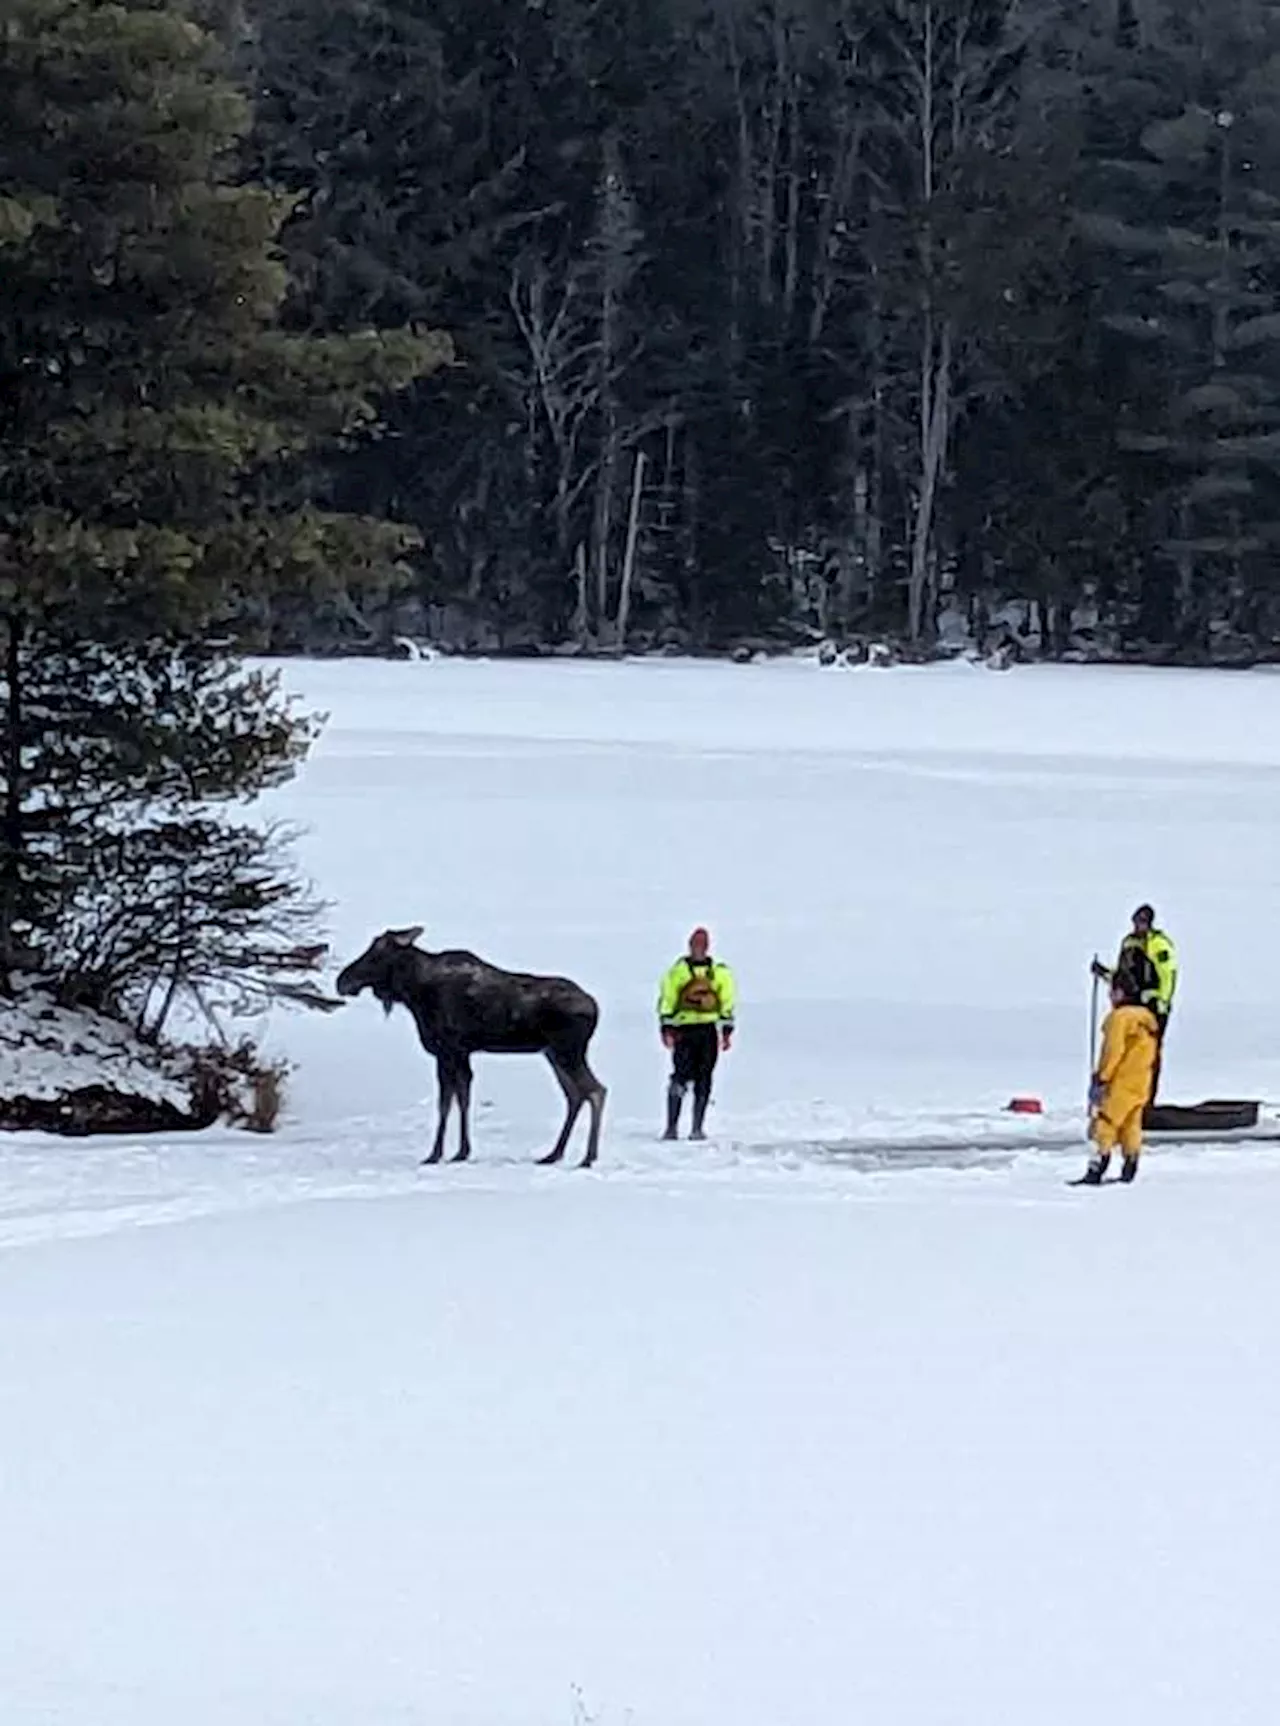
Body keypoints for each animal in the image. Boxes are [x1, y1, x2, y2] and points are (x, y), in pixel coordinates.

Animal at [332, 932, 610, 1173]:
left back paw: (587, 1157)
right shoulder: (460, 1053)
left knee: (596, 1090)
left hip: (568, 1052)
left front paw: (437, 1154)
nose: (342, 981)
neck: (415, 992)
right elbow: (462, 1097)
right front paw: (461, 1151)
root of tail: (595, 1008)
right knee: (575, 1095)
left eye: (376, 954)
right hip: (553, 1053)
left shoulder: (447, 1051)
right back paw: (554, 1154)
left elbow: (446, 1103)